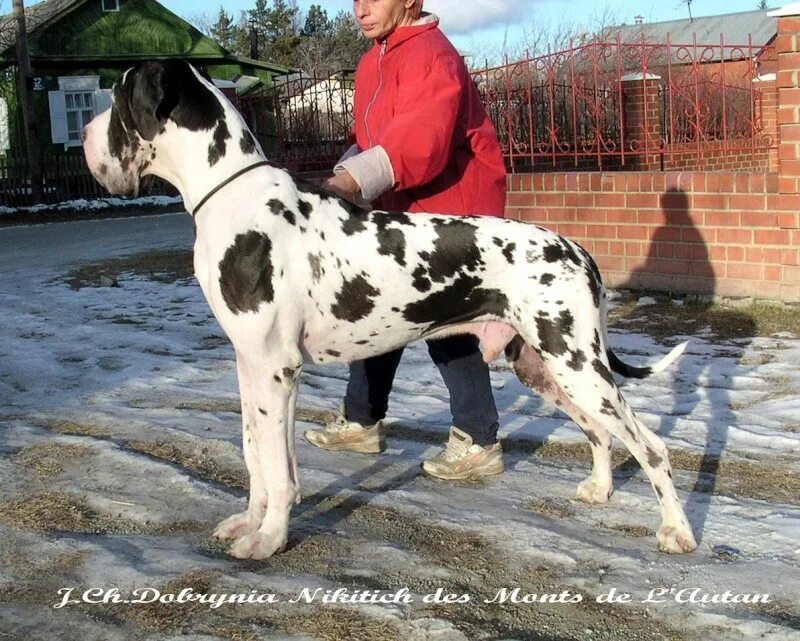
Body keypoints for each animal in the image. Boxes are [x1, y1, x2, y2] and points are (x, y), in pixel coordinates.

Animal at [81, 61, 692, 560]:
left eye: (115, 96)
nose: (84, 135)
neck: (230, 194)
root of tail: (581, 251)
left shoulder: (277, 368)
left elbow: (278, 470)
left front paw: (269, 540)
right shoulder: (249, 363)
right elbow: (255, 454)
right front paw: (249, 523)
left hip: (577, 364)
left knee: (651, 447)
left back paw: (677, 533)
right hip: (545, 367)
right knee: (601, 434)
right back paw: (599, 491)